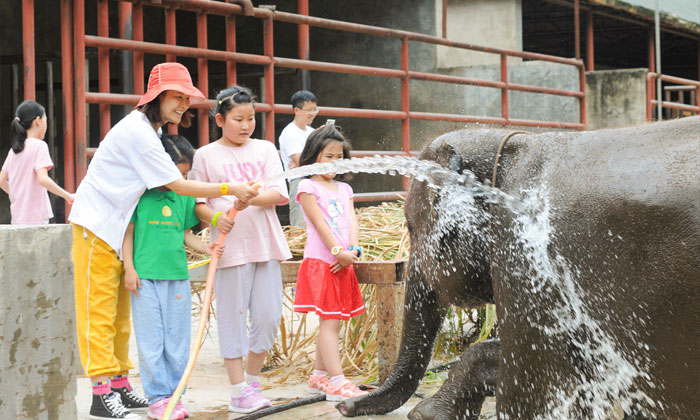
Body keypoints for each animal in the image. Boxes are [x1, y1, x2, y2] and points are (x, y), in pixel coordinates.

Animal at [336, 115, 696, 420]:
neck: (510, 145)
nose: (344, 406)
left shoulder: (527, 256)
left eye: (410, 227)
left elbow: (533, 376)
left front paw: (426, 414)